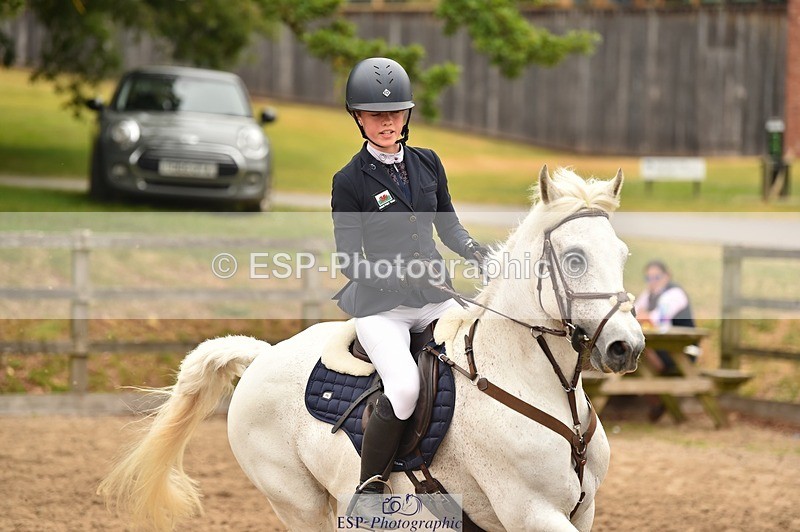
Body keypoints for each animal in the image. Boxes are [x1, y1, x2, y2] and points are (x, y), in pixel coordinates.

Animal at [98, 166, 645, 531]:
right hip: (298, 502)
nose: (627, 347)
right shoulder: (531, 511)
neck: (536, 384)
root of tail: (262, 356)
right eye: (574, 259)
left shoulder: (581, 510)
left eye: (622, 254)